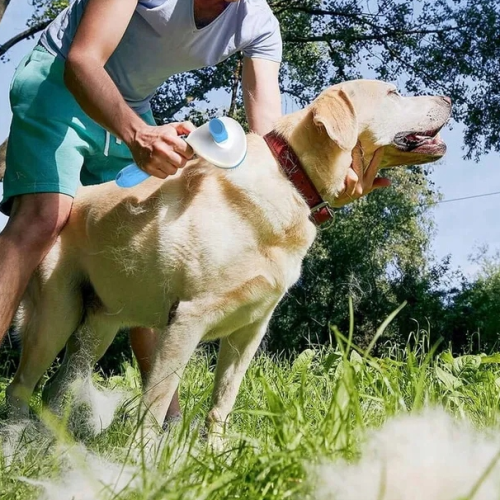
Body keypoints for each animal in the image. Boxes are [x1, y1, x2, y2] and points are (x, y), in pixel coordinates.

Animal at [3, 79, 452, 442]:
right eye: (393, 93)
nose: (448, 98)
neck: (293, 178)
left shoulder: (249, 330)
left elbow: (222, 404)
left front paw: (214, 454)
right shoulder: (186, 320)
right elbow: (156, 403)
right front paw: (143, 463)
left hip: (98, 329)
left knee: (58, 390)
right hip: (54, 318)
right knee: (21, 386)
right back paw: (19, 443)